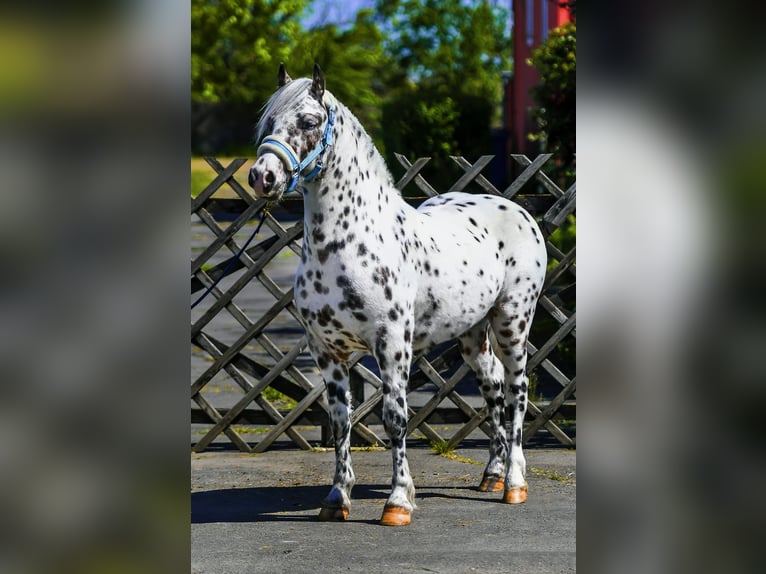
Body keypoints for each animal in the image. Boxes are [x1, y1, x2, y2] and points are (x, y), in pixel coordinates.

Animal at [249, 64, 546, 526]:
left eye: (310, 122)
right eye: (267, 122)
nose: (262, 177)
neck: (349, 241)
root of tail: (519, 212)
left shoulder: (391, 346)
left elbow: (395, 419)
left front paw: (398, 502)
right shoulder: (326, 351)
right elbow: (341, 421)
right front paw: (337, 498)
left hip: (512, 323)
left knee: (517, 391)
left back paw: (514, 483)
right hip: (471, 336)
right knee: (494, 386)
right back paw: (492, 475)